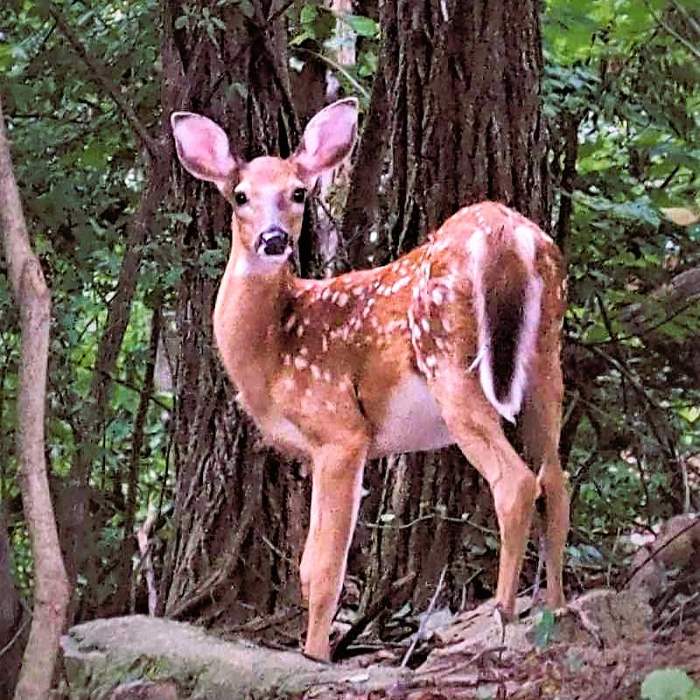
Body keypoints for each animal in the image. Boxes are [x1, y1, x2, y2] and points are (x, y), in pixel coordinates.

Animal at [171, 98, 568, 660]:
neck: (273, 353)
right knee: (556, 478)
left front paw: (315, 655)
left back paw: (504, 614)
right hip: (544, 358)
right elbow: (309, 566)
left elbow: (322, 568)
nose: (274, 239)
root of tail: (508, 237)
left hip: (449, 361)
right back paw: (556, 607)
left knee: (515, 482)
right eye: (240, 195)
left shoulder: (339, 429)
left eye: (298, 192)